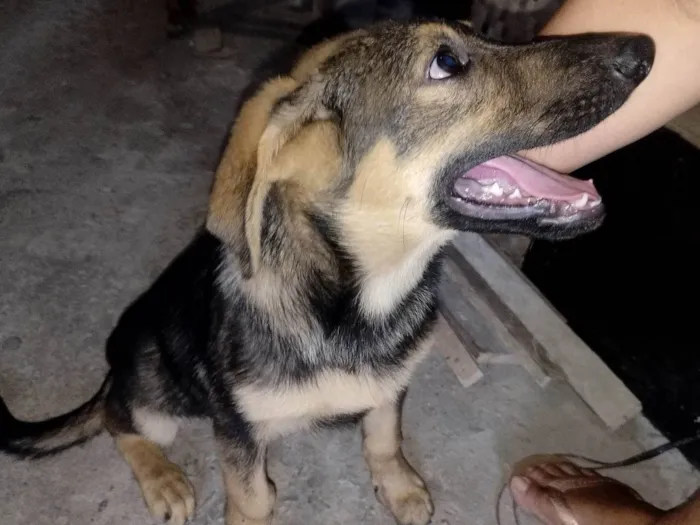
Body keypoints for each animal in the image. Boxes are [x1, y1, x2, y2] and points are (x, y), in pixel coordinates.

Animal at [1, 18, 656, 524]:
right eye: (446, 62)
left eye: (482, 34)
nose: (645, 49)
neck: (358, 298)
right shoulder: (236, 429)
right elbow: (250, 498)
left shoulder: (391, 383)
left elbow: (384, 435)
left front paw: (399, 486)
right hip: (155, 385)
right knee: (119, 419)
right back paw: (162, 479)